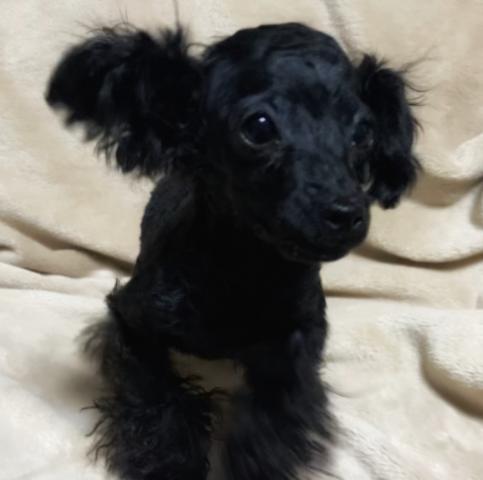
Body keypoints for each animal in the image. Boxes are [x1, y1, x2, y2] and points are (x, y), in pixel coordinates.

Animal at [46, 22, 419, 480]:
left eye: (364, 133)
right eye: (258, 127)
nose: (346, 213)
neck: (243, 269)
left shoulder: (302, 329)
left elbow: (282, 399)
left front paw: (256, 460)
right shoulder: (131, 318)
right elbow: (154, 393)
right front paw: (169, 462)